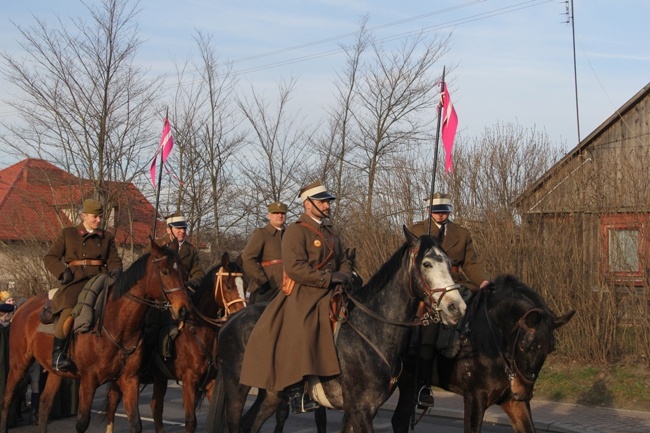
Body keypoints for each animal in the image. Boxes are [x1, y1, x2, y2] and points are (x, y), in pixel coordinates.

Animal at [0, 240, 191, 432]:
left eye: (184, 272)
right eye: (165, 271)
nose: (183, 309)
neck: (116, 323)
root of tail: (23, 307)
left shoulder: (129, 380)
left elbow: (135, 423)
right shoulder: (88, 380)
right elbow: (82, 423)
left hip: (55, 372)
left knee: (44, 405)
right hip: (19, 364)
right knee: (7, 398)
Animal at [105, 251, 247, 430]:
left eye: (245, 286)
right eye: (228, 286)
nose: (241, 313)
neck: (197, 330)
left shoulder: (210, 382)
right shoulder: (189, 381)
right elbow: (190, 421)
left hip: (159, 377)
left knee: (156, 408)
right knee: (112, 404)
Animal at [208, 228, 466, 430]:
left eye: (450, 264)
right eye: (427, 263)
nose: (457, 307)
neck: (373, 329)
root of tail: (231, 320)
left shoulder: (361, 409)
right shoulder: (361, 409)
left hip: (270, 395)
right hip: (237, 388)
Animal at [390, 274, 572, 432]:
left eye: (550, 349)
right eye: (524, 346)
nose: (523, 393)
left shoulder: (512, 402)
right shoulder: (475, 398)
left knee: (399, 420)